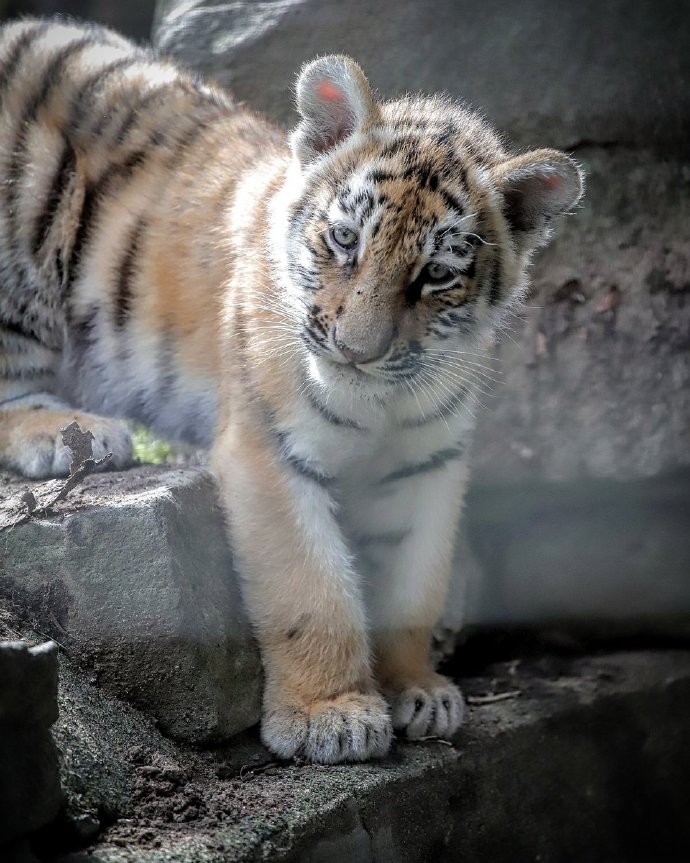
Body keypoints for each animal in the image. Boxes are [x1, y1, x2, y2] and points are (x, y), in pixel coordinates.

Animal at [0, 16, 584, 764]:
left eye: (434, 275)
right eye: (345, 239)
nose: (356, 349)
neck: (380, 405)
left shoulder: (428, 464)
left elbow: (413, 582)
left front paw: (419, 690)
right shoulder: (268, 451)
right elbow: (313, 589)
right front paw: (329, 716)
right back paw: (77, 435)